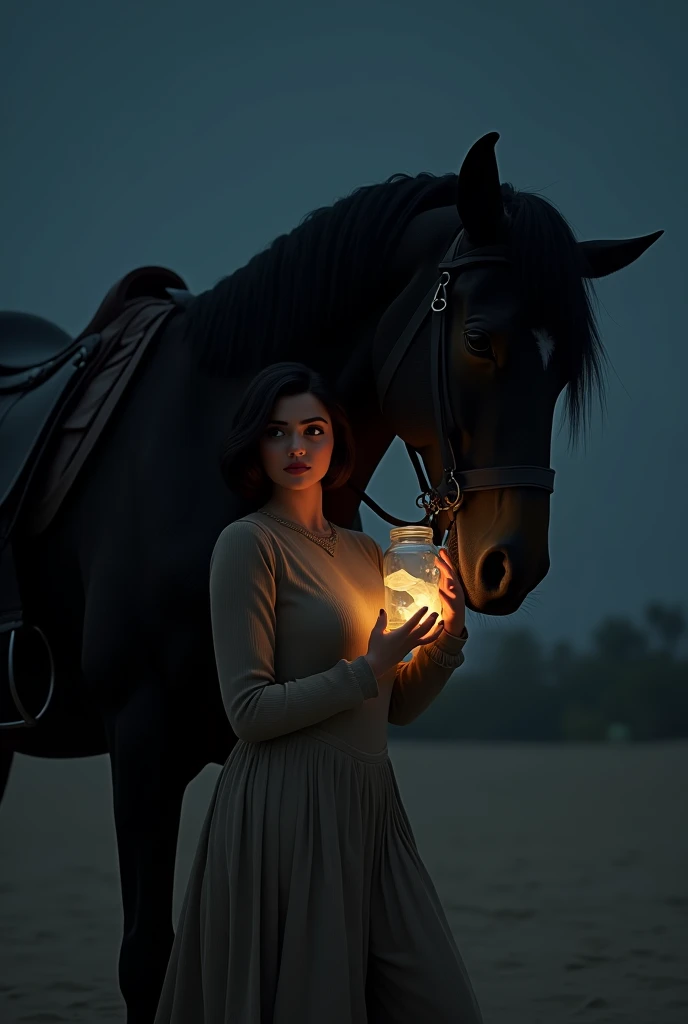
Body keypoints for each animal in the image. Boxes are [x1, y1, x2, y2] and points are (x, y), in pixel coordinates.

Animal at [0, 132, 659, 1019]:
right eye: (479, 339)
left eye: (563, 374)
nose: (511, 564)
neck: (201, 454)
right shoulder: (139, 740)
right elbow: (146, 960)